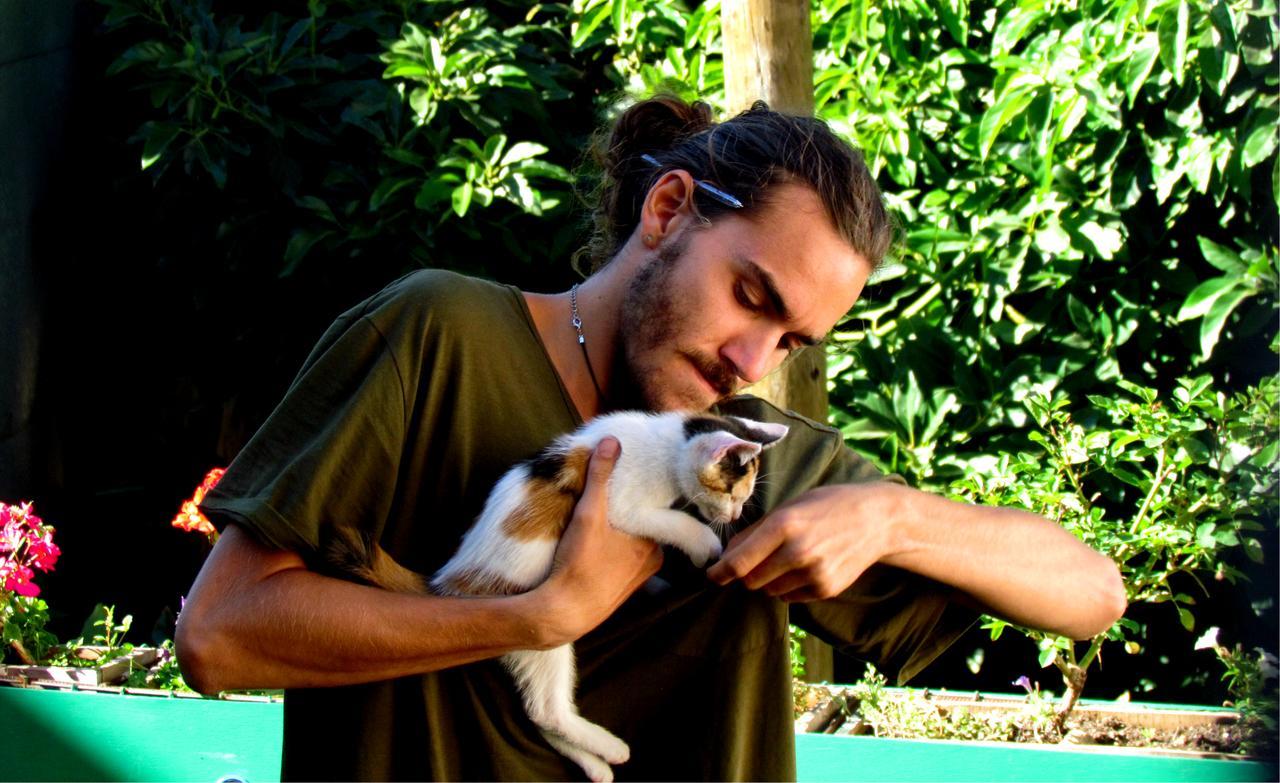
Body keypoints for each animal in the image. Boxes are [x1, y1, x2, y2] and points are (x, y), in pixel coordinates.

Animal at [325, 409, 783, 783]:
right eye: (732, 493)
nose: (736, 514)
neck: (664, 443)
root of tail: (449, 586)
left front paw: (657, 585)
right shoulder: (622, 507)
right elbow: (676, 523)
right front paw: (707, 545)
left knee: (539, 715)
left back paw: (596, 765)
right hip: (539, 635)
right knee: (546, 710)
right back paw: (610, 747)